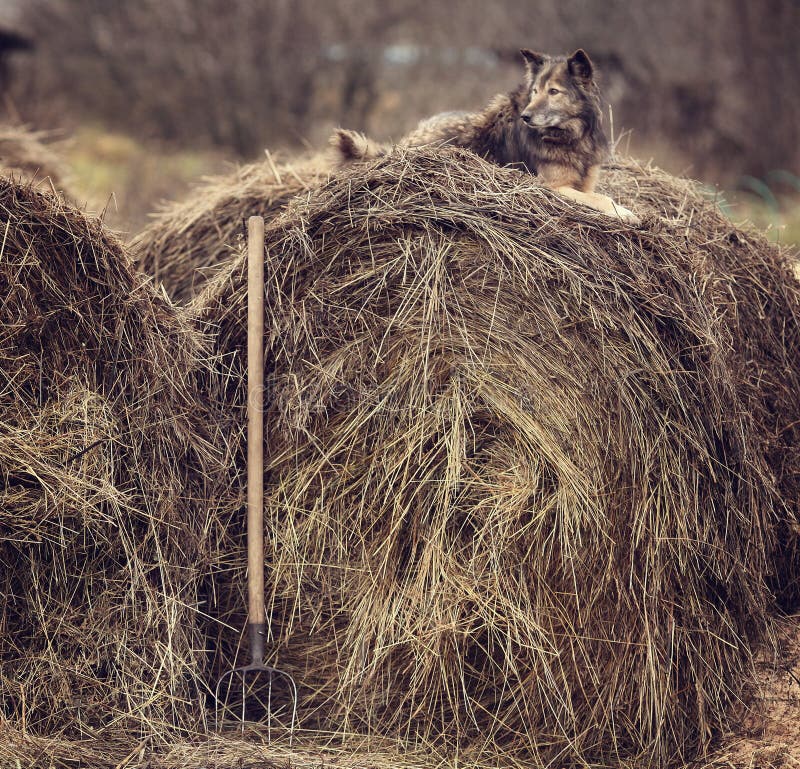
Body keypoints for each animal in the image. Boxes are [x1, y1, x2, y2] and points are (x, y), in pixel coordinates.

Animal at [332, 48, 636, 222]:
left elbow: (602, 195)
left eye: (553, 92)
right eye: (535, 91)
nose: (526, 117)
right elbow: (604, 199)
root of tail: (403, 144)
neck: (571, 136)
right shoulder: (554, 187)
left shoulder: (585, 184)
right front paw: (627, 214)